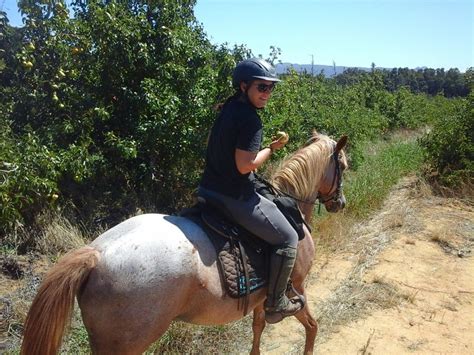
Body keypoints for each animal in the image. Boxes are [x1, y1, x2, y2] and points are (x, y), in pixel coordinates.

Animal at [21, 131, 348, 355]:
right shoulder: (297, 287)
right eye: (343, 165)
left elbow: (258, 329)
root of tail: (97, 254)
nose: (340, 203)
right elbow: (312, 327)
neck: (289, 206)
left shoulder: (262, 298)